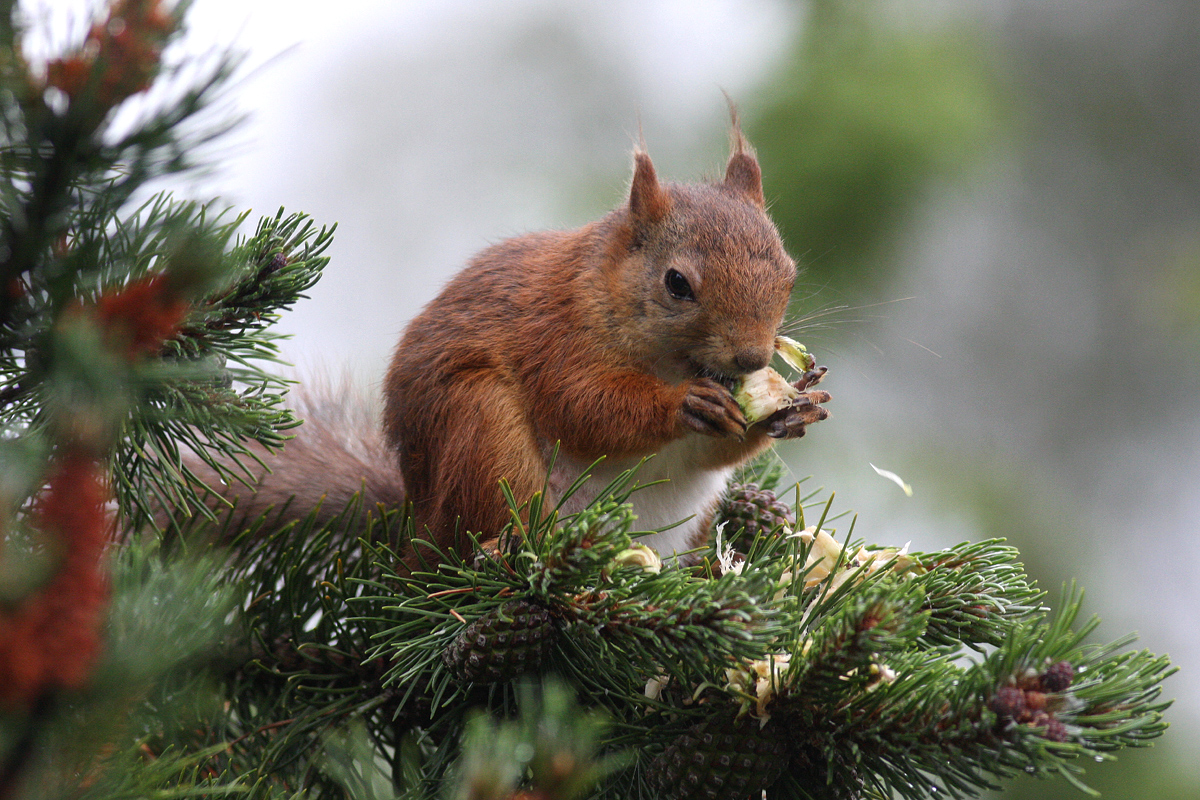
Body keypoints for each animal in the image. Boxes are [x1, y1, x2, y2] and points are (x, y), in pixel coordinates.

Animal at [192, 123, 830, 563]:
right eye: (677, 284)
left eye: (791, 275)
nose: (753, 357)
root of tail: (417, 534)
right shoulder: (555, 335)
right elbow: (585, 408)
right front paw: (683, 405)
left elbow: (708, 451)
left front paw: (792, 409)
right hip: (480, 426)